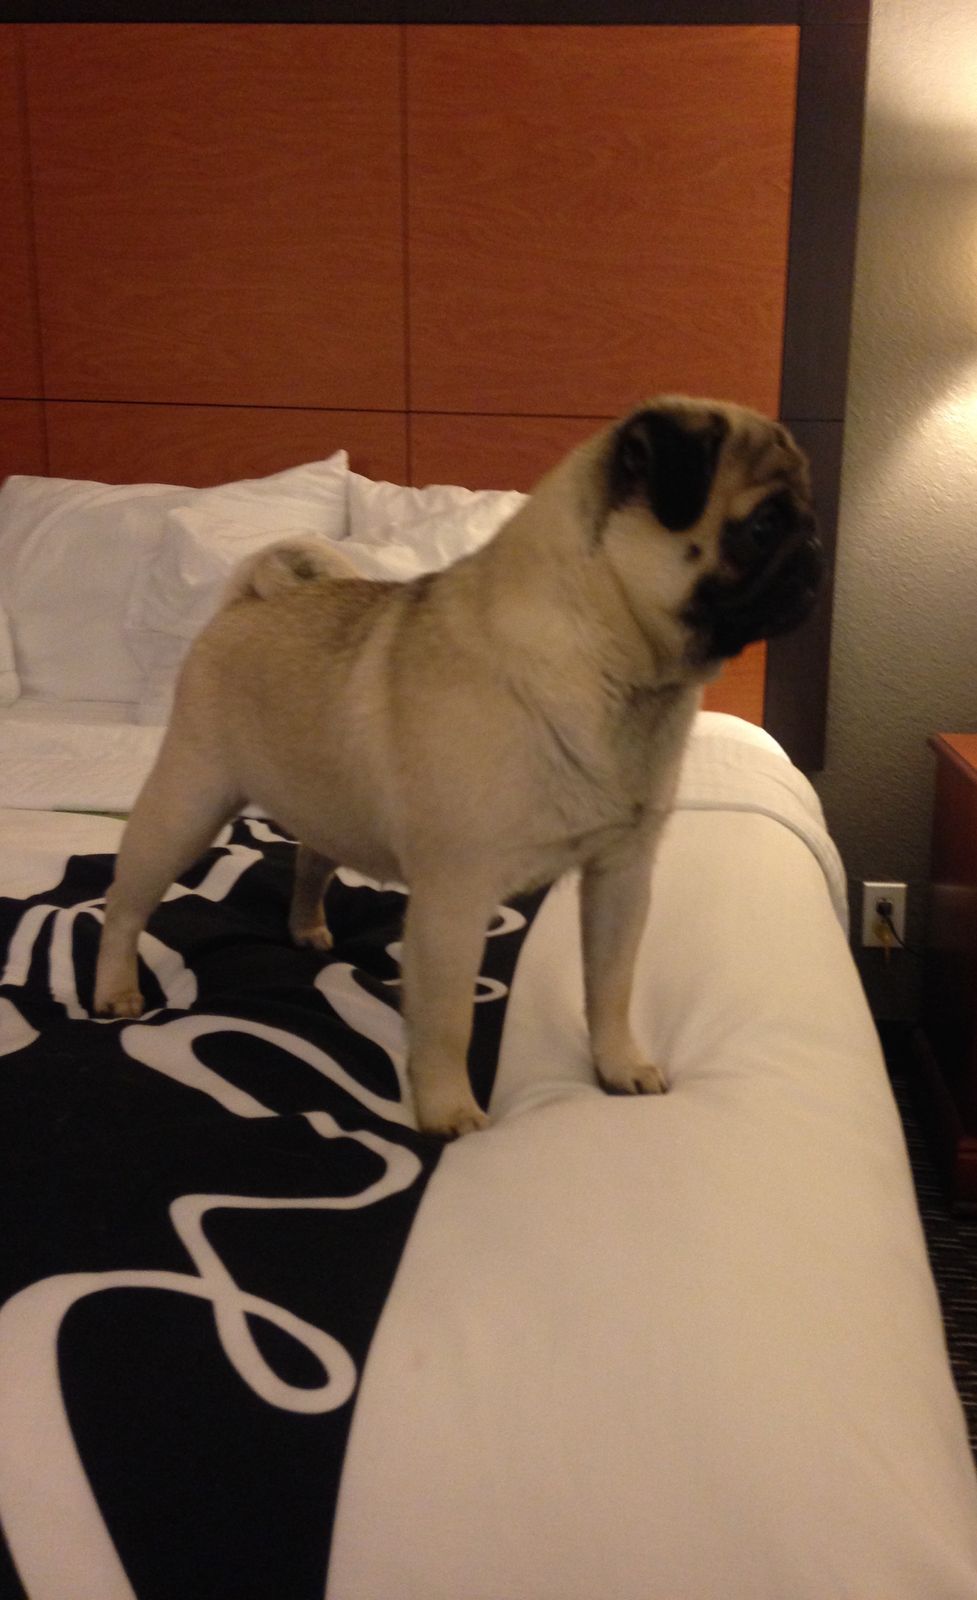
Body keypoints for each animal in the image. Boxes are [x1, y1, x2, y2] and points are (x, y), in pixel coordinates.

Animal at [94, 397, 821, 1137]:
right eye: (763, 527)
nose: (816, 551)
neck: (613, 672)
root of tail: (246, 601)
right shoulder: (454, 901)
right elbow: (446, 1021)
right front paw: (448, 1111)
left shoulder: (620, 879)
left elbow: (610, 987)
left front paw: (618, 1065)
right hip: (187, 805)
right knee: (125, 905)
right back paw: (115, 990)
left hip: (324, 804)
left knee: (309, 859)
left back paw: (306, 926)